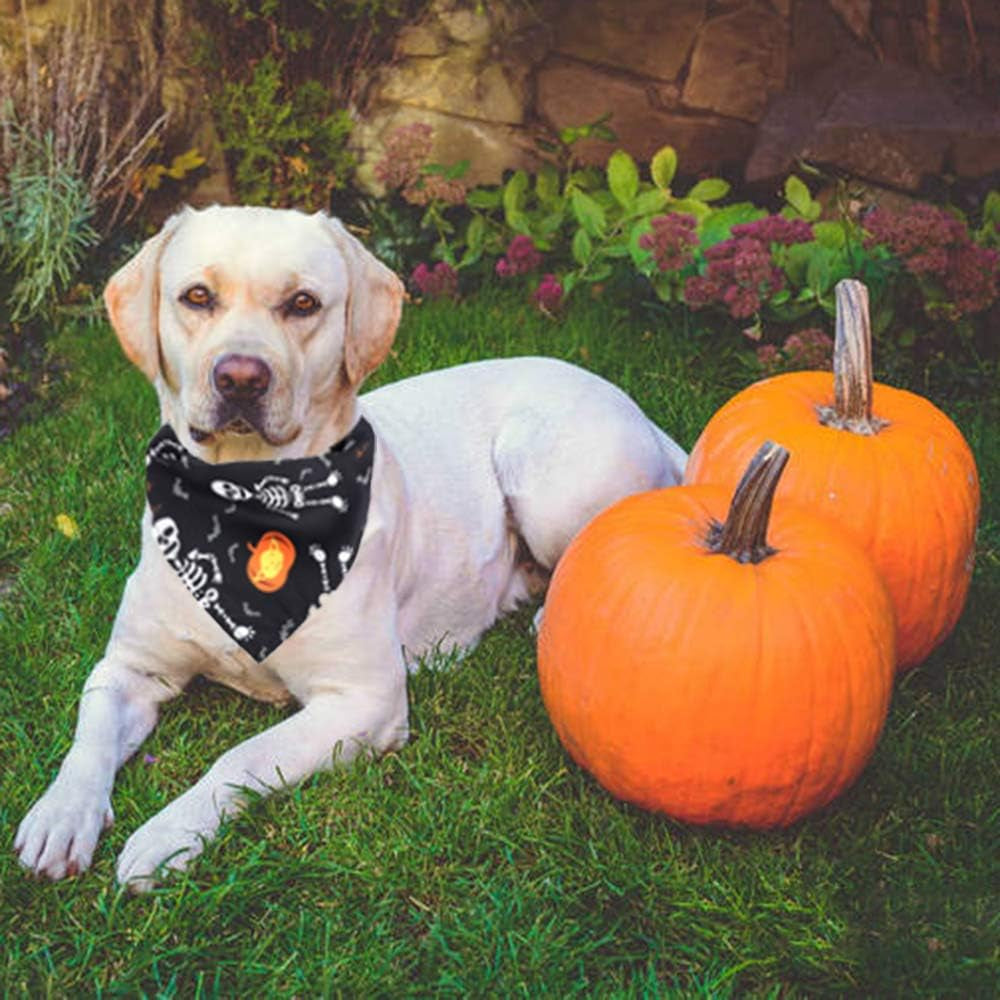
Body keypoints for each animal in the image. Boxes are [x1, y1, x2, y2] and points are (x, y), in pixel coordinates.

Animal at [15, 205, 688, 892]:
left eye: (303, 303)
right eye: (196, 297)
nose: (239, 377)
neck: (243, 505)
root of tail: (627, 400)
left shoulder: (365, 699)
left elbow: (245, 753)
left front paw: (168, 833)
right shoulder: (129, 668)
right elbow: (89, 736)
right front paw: (60, 815)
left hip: (543, 474)